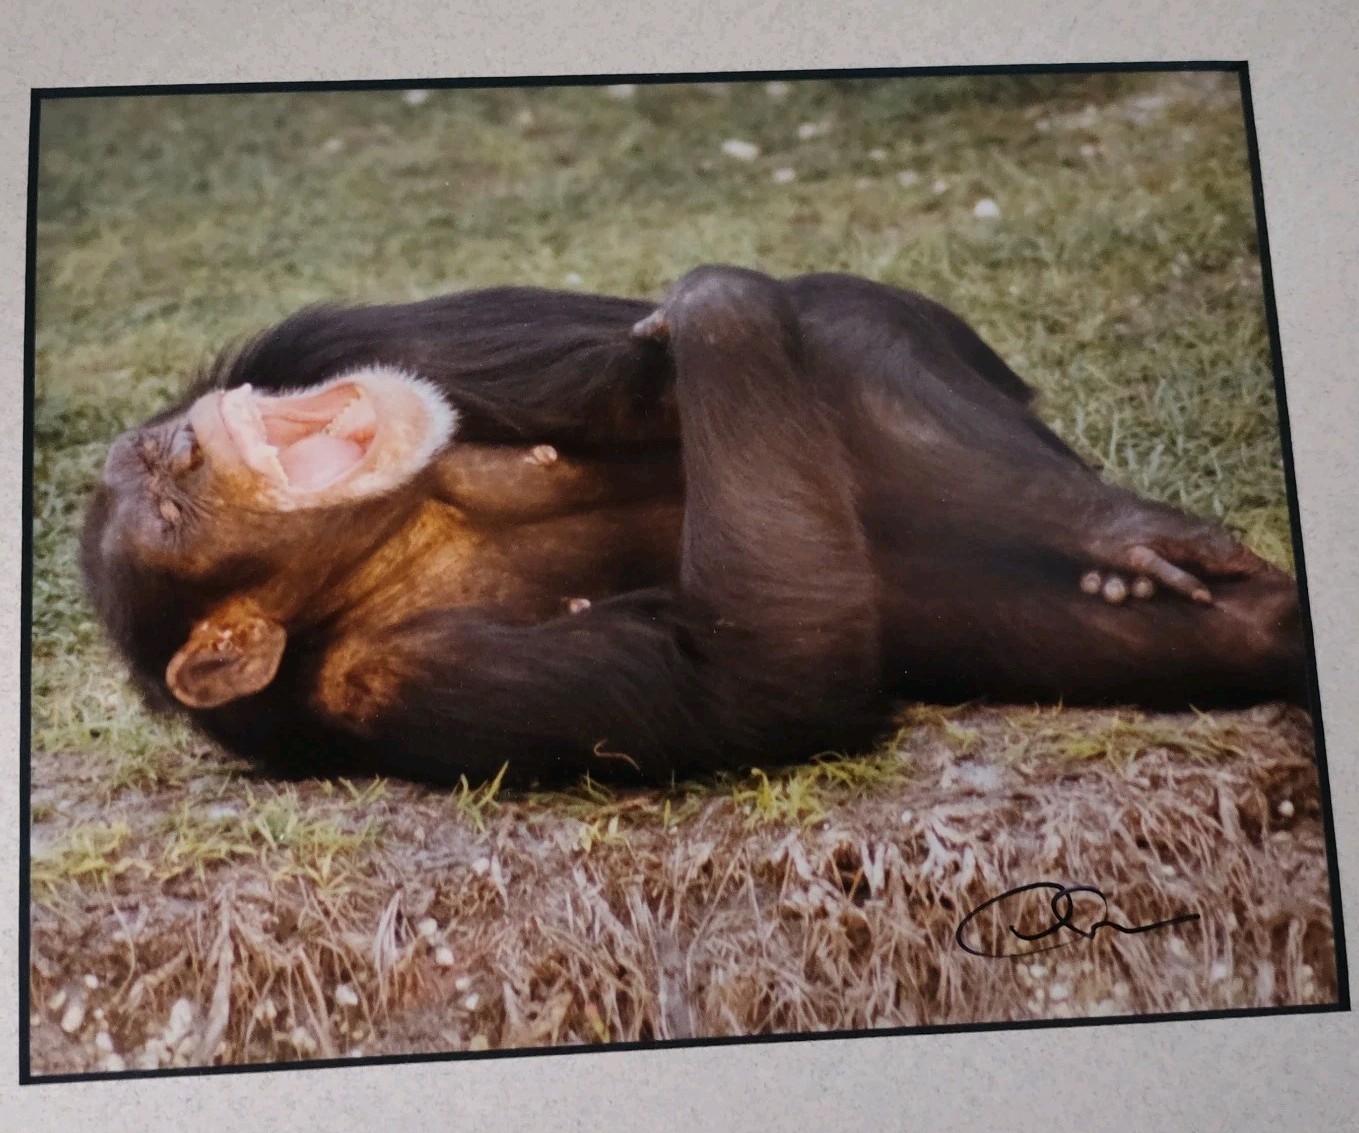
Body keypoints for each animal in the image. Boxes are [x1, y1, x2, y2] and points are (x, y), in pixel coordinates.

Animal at [80, 266, 1306, 787]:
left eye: (161, 461)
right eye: (173, 512)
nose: (178, 448)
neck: (384, 545)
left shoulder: (331, 339)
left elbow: (660, 361)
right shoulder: (411, 687)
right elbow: (768, 675)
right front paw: (712, 305)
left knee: (848, 331)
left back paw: (1125, 533)